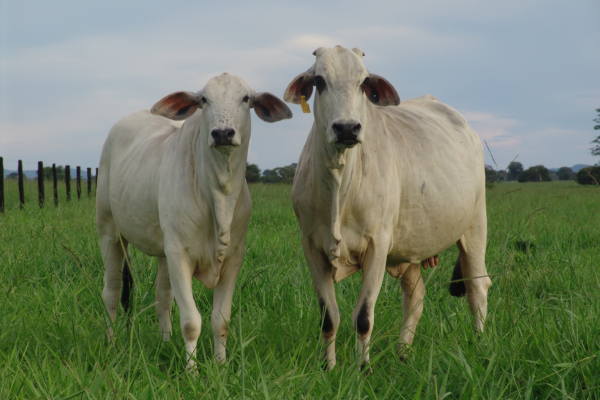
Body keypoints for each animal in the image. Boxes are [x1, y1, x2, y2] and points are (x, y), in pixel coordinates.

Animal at [96, 73, 292, 370]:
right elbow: (191, 322)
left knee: (162, 298)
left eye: (246, 98)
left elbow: (220, 320)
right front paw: (192, 371)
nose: (222, 133)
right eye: (203, 99)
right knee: (111, 292)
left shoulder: (233, 258)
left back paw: (165, 343)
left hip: (162, 249)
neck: (219, 196)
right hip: (109, 232)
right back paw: (111, 344)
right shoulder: (180, 255)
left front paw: (220, 365)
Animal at [286, 45, 492, 370]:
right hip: (411, 246)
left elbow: (363, 317)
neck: (339, 186)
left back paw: (480, 346)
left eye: (363, 82)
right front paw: (328, 367)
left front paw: (363, 369)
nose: (347, 128)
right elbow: (329, 318)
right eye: (319, 81)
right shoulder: (311, 246)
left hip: (475, 227)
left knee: (477, 289)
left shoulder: (377, 245)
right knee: (415, 296)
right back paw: (403, 353)